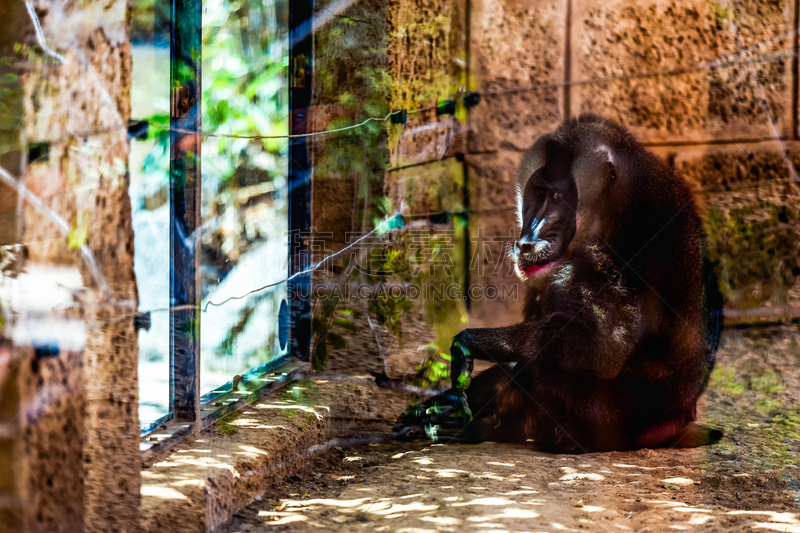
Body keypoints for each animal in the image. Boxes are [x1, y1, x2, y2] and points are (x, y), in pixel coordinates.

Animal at [396, 114, 724, 450]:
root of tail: (675, 424)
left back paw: (483, 430)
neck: (613, 202)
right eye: (539, 193)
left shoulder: (598, 260)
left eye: (559, 197)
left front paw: (470, 344)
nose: (526, 242)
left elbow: (605, 346)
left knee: (538, 367)